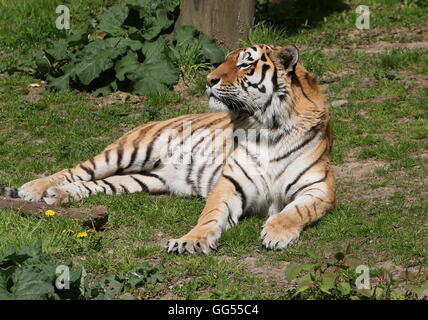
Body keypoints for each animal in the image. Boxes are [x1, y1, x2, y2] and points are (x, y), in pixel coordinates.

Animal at [0, 44, 336, 255]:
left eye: (245, 63)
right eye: (223, 61)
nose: (209, 79)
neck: (266, 125)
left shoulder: (319, 190)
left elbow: (295, 211)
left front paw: (276, 233)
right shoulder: (229, 185)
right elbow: (209, 217)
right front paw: (190, 242)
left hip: (143, 179)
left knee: (96, 183)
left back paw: (59, 195)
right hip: (129, 150)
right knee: (76, 170)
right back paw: (36, 188)